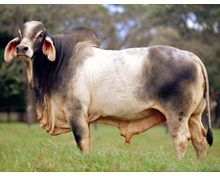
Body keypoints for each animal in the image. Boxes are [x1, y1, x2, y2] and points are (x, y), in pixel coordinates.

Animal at [4, 21, 212, 159]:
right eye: (20, 35)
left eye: (39, 35)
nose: (22, 48)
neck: (59, 62)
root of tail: (192, 56)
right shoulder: (84, 117)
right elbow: (87, 142)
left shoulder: (75, 112)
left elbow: (81, 141)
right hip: (194, 115)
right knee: (199, 139)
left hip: (177, 114)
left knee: (181, 138)